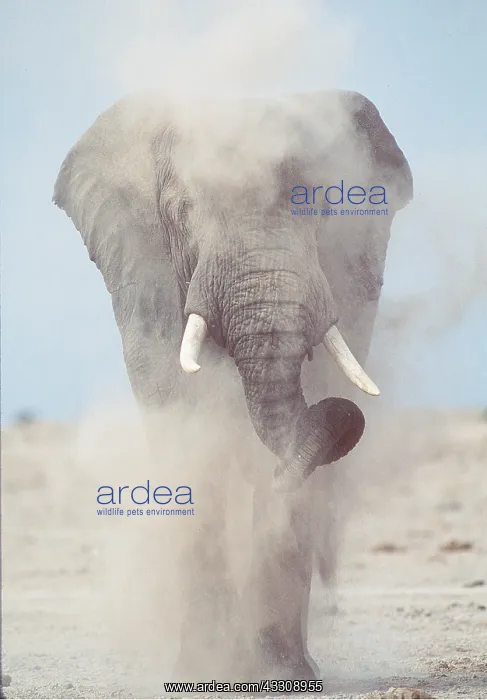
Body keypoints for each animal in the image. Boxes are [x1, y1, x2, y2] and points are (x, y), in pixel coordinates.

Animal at [53, 89, 413, 682]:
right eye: (181, 212)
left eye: (320, 204)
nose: (279, 475)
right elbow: (183, 418)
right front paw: (202, 667)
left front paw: (285, 677)